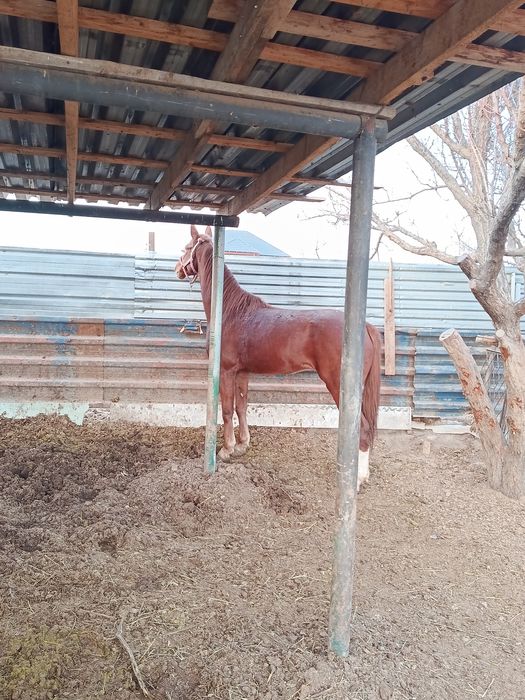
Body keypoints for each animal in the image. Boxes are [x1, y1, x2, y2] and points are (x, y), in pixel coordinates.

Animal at [176, 225, 382, 489]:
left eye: (186, 248)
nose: (177, 268)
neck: (229, 313)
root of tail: (365, 326)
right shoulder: (242, 373)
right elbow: (242, 407)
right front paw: (242, 445)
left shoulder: (226, 370)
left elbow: (227, 409)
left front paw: (226, 449)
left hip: (339, 386)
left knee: (363, 429)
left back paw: (357, 479)